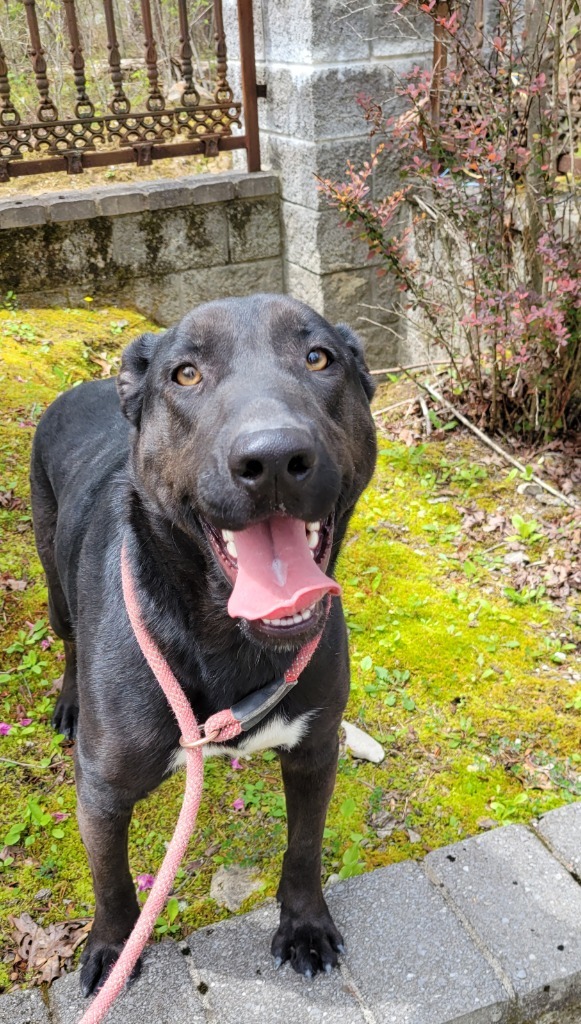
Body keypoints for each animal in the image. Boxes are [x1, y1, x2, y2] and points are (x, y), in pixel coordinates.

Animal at [30, 294, 377, 991]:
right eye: (185, 374)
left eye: (318, 357)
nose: (273, 459)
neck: (225, 639)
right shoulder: (101, 787)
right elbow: (110, 880)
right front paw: (113, 948)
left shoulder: (315, 748)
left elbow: (304, 848)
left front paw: (305, 923)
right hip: (53, 581)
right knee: (69, 639)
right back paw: (70, 701)